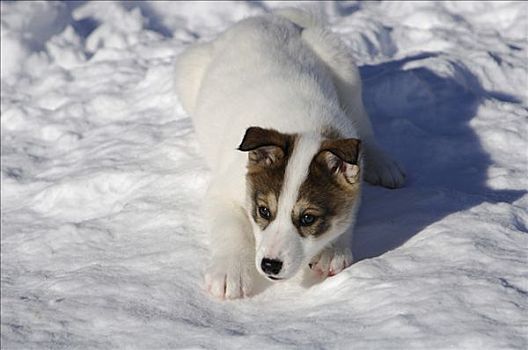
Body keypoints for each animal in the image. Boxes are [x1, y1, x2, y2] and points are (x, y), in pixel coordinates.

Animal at [173, 8, 404, 300]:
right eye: (263, 211)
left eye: (308, 218)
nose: (269, 265)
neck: (303, 127)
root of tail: (265, 17)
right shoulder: (223, 192)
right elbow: (231, 230)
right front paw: (230, 271)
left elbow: (347, 215)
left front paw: (332, 250)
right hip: (188, 69)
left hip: (344, 68)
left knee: (365, 130)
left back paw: (383, 163)